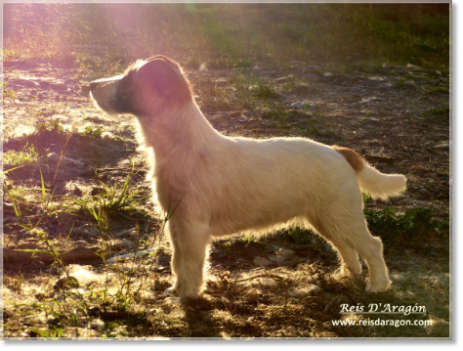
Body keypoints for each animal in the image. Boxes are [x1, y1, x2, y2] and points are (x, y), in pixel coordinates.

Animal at [89, 55, 406, 302]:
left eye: (129, 80)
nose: (90, 84)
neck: (183, 144)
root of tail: (341, 152)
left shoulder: (192, 229)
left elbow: (190, 266)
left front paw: (187, 298)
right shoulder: (176, 224)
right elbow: (177, 263)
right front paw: (176, 291)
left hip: (341, 216)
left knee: (372, 245)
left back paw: (378, 286)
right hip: (327, 219)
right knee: (347, 249)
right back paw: (347, 277)